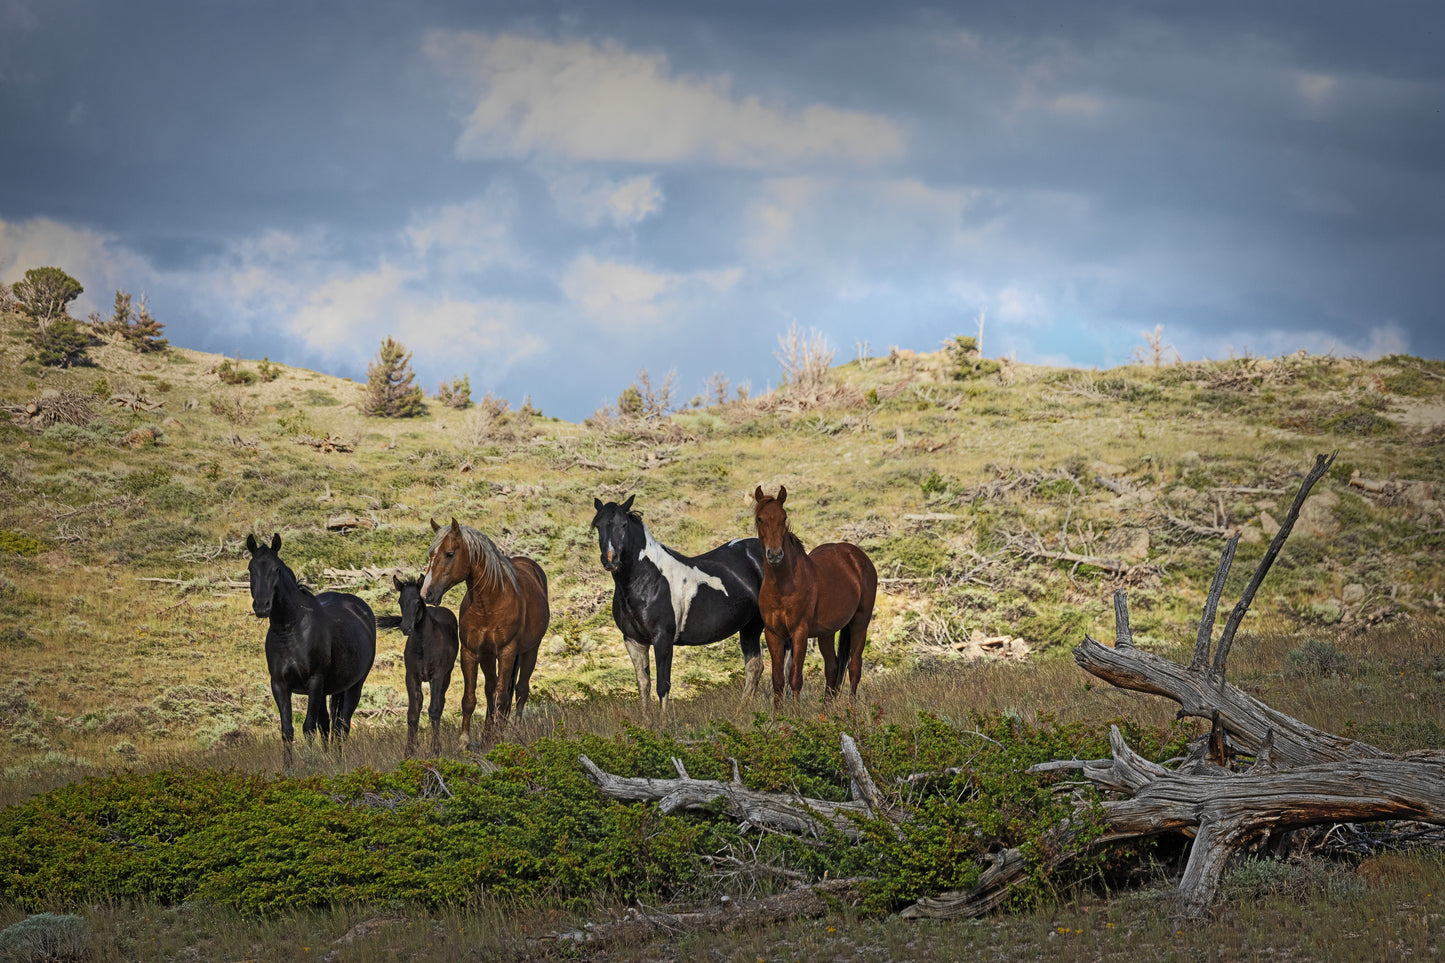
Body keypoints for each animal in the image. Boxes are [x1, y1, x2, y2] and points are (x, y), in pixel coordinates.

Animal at [245, 532, 375, 763]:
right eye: (251, 568)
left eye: (276, 569)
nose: (261, 606)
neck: (290, 629)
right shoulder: (279, 684)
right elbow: (288, 730)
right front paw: (290, 767)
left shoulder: (314, 681)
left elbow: (308, 728)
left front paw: (309, 763)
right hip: (327, 691)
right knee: (327, 725)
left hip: (354, 686)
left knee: (341, 727)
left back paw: (338, 761)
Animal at [378, 569, 456, 757]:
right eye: (400, 601)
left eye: (417, 602)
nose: (406, 627)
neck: (423, 646)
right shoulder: (412, 676)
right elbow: (412, 713)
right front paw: (409, 751)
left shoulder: (437, 675)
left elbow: (434, 710)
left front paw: (435, 749)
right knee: (420, 703)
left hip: (447, 676)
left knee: (440, 703)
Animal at [421, 514, 551, 746]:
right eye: (431, 554)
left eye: (450, 553)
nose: (427, 593)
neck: (489, 603)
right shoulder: (472, 652)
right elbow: (470, 698)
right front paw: (465, 740)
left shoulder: (507, 652)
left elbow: (502, 696)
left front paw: (500, 737)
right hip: (489, 657)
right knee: (491, 690)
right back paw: (487, 734)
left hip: (530, 651)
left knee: (520, 690)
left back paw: (514, 730)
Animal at [589, 494, 768, 705]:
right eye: (598, 525)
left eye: (623, 524)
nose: (610, 559)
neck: (648, 580)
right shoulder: (634, 641)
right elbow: (644, 686)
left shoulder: (663, 638)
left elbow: (662, 686)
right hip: (750, 626)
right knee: (754, 667)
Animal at [751, 488, 872, 705]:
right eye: (760, 518)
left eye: (784, 517)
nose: (775, 555)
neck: (782, 587)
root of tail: (857, 556)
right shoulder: (773, 634)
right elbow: (778, 680)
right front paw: (777, 715)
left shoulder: (800, 632)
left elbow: (795, 678)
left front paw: (796, 714)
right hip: (826, 633)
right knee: (832, 668)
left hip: (860, 623)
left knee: (854, 667)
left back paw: (851, 711)